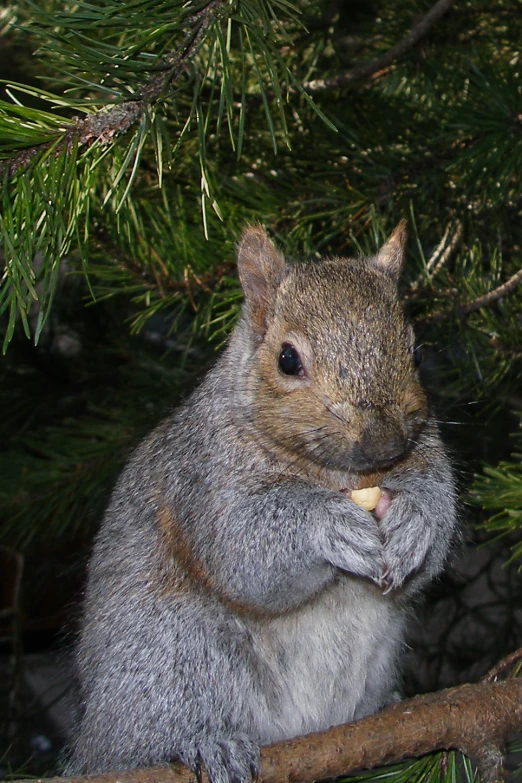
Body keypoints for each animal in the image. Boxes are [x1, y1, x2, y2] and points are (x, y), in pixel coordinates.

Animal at [65, 222, 456, 783]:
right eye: (287, 359)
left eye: (417, 353)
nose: (383, 444)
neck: (337, 475)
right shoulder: (204, 481)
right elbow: (245, 552)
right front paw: (328, 525)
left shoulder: (427, 459)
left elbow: (433, 525)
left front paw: (415, 524)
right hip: (170, 657)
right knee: (147, 737)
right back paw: (205, 743)